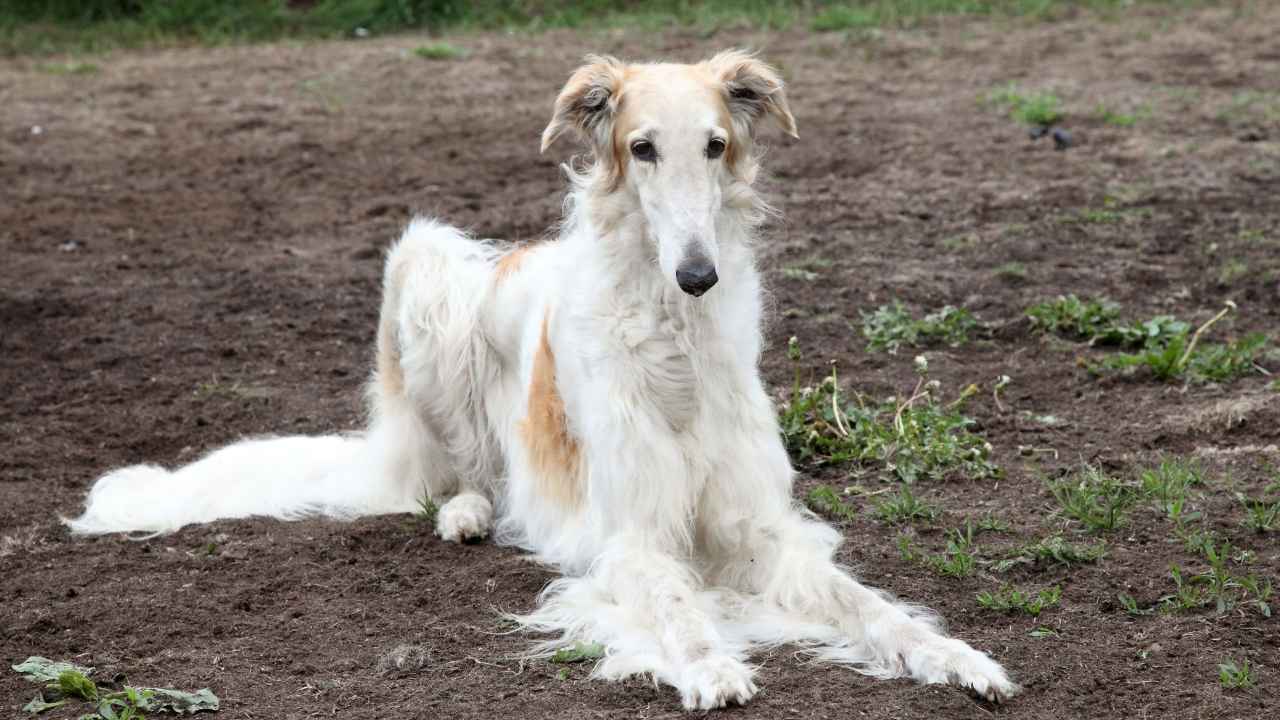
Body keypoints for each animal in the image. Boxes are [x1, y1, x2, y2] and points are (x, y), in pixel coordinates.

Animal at [70, 49, 1018, 707]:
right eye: (642, 148)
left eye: (716, 146)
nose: (698, 275)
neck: (674, 346)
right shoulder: (631, 535)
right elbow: (678, 606)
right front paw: (712, 666)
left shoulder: (760, 528)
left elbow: (871, 606)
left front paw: (955, 656)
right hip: (425, 267)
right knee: (455, 473)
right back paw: (467, 512)